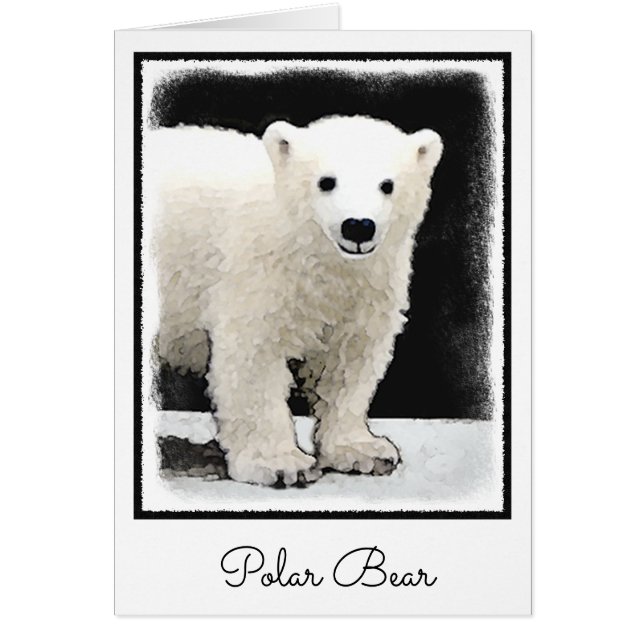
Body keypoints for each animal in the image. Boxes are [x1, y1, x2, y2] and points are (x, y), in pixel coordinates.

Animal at [146, 115, 443, 486]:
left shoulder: (369, 288)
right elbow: (255, 358)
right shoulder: (258, 271)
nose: (358, 226)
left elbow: (349, 361)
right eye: (326, 181)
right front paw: (280, 464)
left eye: (387, 185)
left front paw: (364, 451)